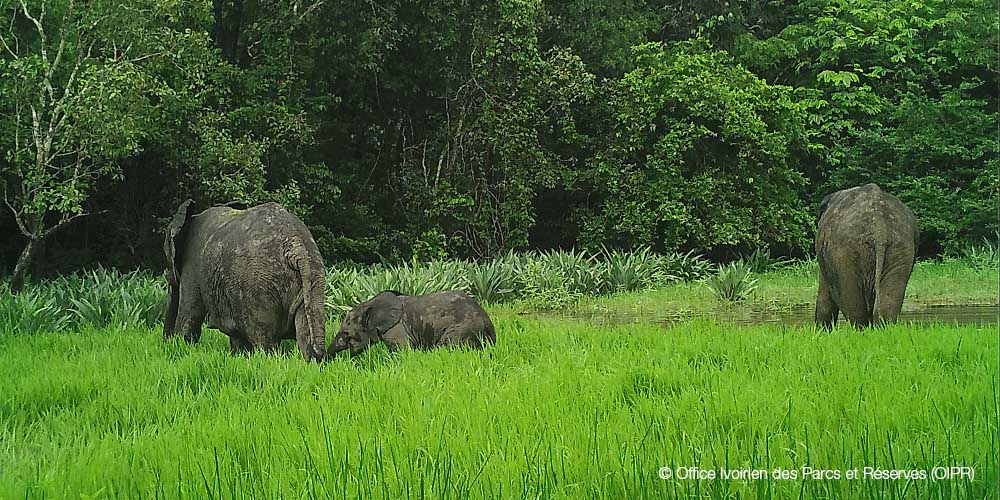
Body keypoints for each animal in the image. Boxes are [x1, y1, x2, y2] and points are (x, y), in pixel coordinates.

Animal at [162, 200, 326, 361]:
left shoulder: (192, 265)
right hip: (313, 275)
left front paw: (181, 343)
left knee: (263, 339)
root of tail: (296, 246)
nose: (166, 341)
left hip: (258, 287)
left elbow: (190, 314)